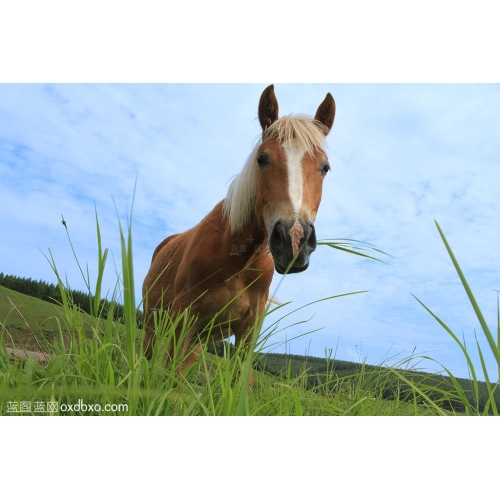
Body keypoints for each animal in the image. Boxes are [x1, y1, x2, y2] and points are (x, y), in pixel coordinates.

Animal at [142, 85, 336, 382]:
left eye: (325, 167)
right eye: (262, 159)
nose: (293, 240)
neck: (234, 257)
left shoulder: (247, 332)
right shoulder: (183, 318)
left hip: (197, 341)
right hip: (153, 323)